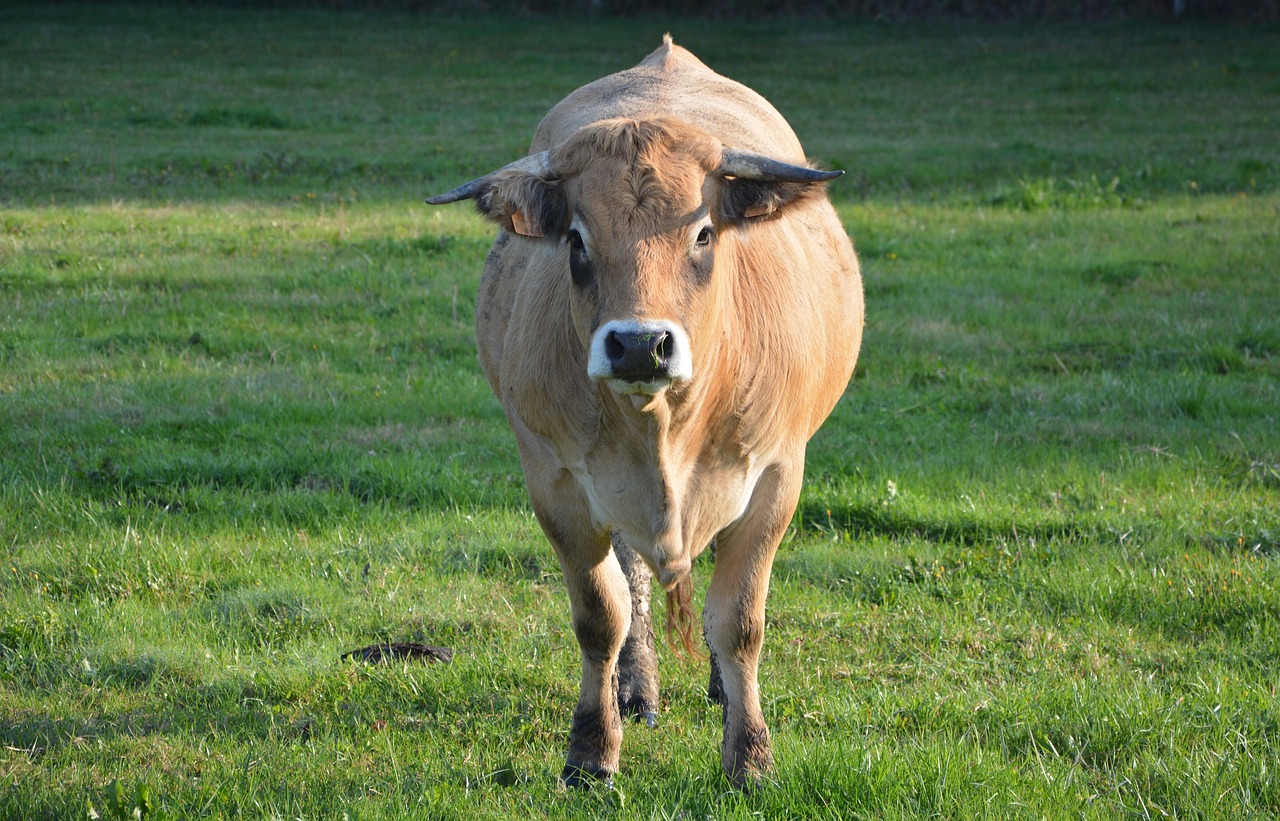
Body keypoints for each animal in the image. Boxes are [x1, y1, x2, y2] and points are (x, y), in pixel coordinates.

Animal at [427, 35, 860, 783]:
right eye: (575, 239)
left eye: (704, 233)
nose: (638, 344)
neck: (663, 431)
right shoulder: (556, 482)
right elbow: (601, 615)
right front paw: (590, 750)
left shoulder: (777, 474)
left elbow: (739, 620)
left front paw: (749, 754)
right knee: (631, 583)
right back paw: (636, 687)